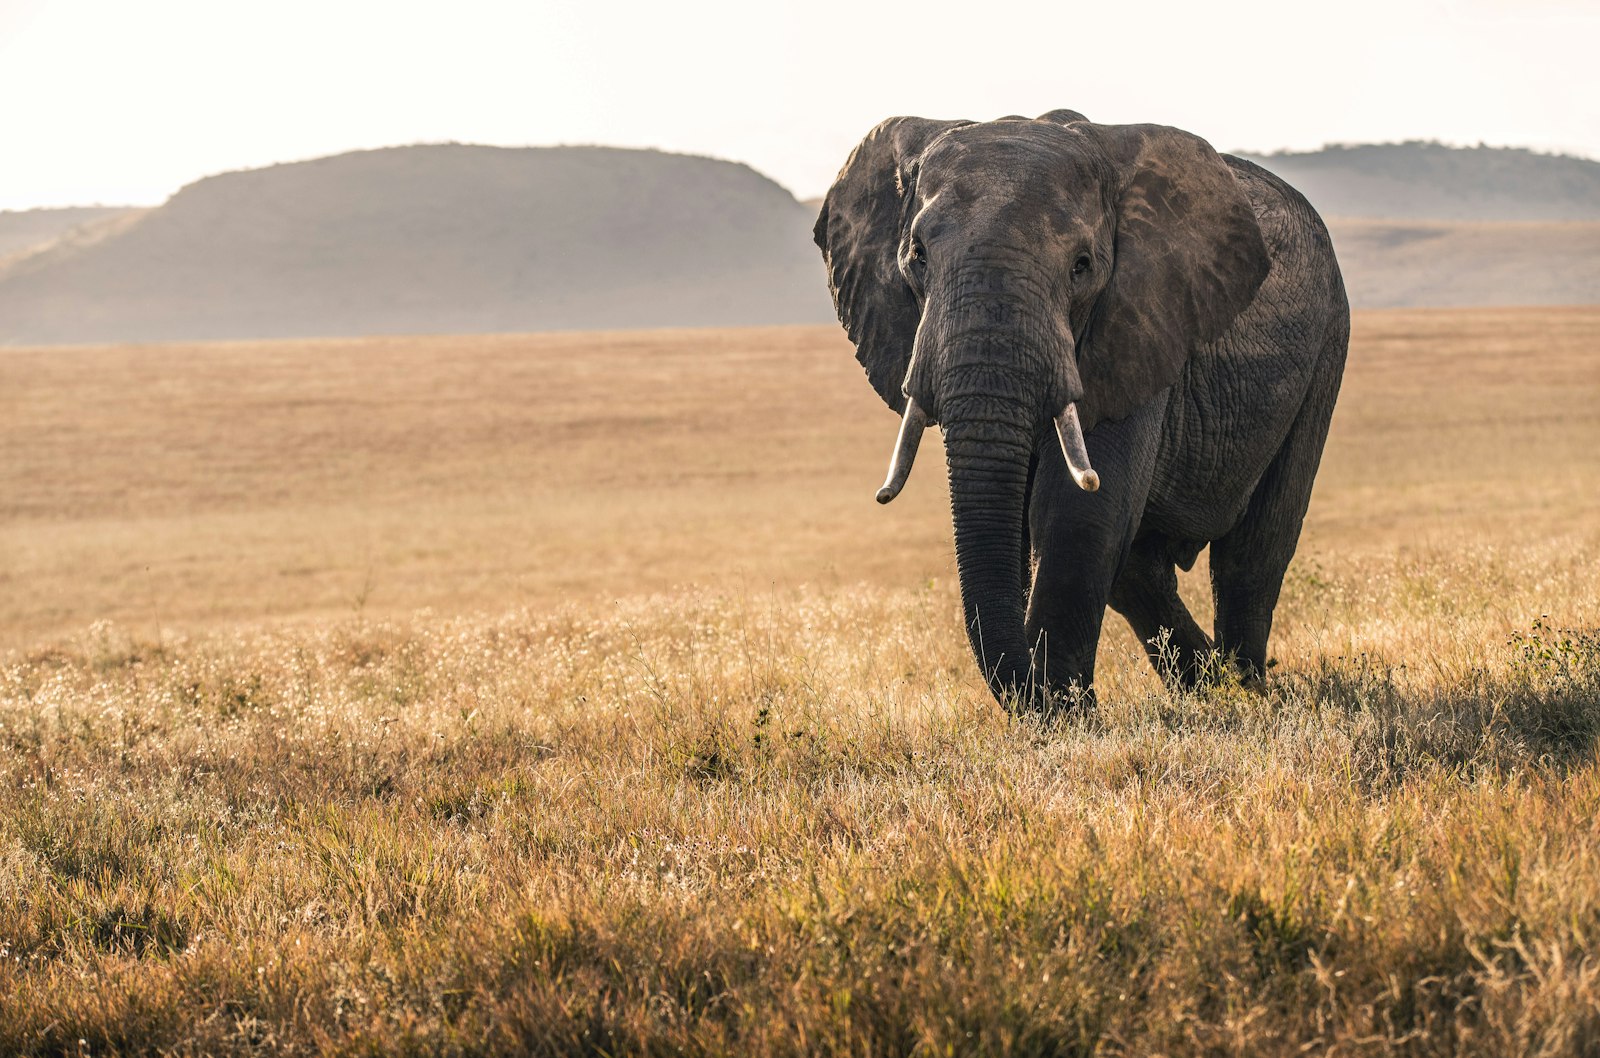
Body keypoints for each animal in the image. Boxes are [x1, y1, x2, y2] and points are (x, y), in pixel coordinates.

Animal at [812, 111, 1350, 710]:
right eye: (917, 257)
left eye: (1082, 265)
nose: (1039, 690)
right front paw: (1062, 708)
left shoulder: (1138, 321)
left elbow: (1077, 513)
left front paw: (1066, 715)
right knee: (1140, 569)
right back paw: (1207, 688)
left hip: (1328, 343)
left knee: (1253, 551)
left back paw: (1245, 690)